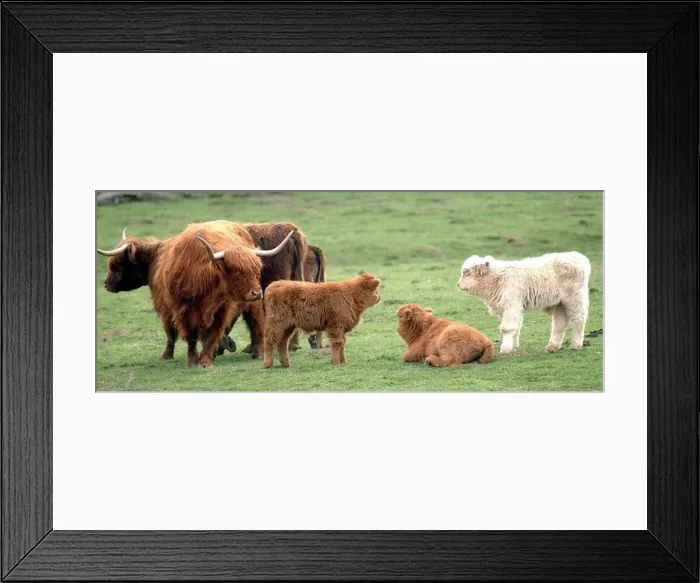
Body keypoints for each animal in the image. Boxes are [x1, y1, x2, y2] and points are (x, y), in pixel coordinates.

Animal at [97, 229, 236, 360]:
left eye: (117, 264)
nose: (106, 284)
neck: (153, 259)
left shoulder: (165, 305)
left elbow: (170, 330)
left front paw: (166, 355)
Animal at [153, 220, 295, 367]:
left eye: (257, 269)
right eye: (236, 271)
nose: (257, 293)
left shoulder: (222, 310)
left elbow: (212, 335)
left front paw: (205, 361)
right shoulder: (183, 310)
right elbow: (191, 336)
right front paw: (192, 361)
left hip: (252, 305)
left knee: (255, 322)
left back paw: (256, 352)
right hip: (166, 309)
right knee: (170, 332)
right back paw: (167, 355)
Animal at [456, 251, 591, 354]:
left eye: (467, 273)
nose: (458, 284)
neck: (497, 278)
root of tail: (576, 256)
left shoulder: (511, 306)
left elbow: (507, 328)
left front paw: (505, 349)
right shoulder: (513, 308)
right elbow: (516, 327)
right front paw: (513, 347)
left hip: (575, 299)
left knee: (579, 319)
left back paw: (576, 345)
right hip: (559, 304)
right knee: (559, 324)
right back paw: (552, 347)